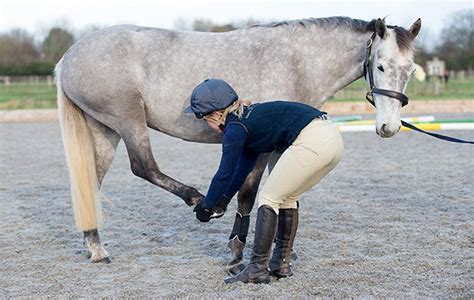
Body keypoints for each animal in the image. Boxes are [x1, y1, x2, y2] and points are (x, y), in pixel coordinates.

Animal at [55, 15, 422, 270]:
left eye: (410, 69)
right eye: (380, 66)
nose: (389, 127)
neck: (297, 62)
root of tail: (67, 58)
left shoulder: (281, 148)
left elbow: (284, 195)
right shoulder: (257, 147)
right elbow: (248, 194)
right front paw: (235, 252)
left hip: (105, 130)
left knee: (92, 182)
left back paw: (96, 247)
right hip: (127, 121)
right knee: (143, 166)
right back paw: (198, 200)